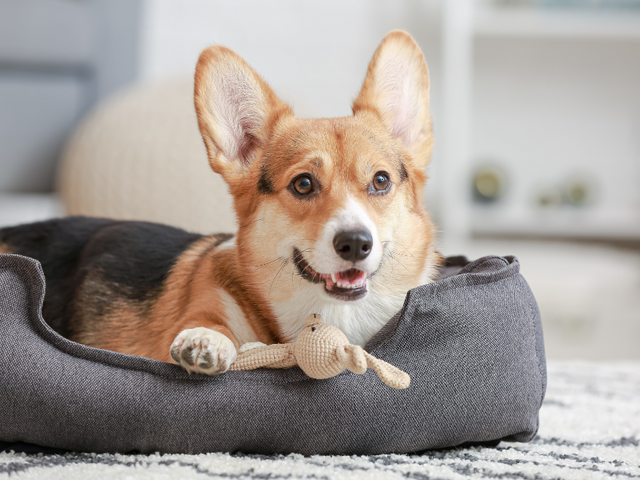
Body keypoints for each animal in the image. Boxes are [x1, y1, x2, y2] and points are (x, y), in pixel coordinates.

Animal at [0, 31, 440, 376]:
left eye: (380, 180)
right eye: (303, 184)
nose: (355, 243)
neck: (327, 314)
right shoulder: (207, 303)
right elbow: (211, 325)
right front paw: (206, 341)